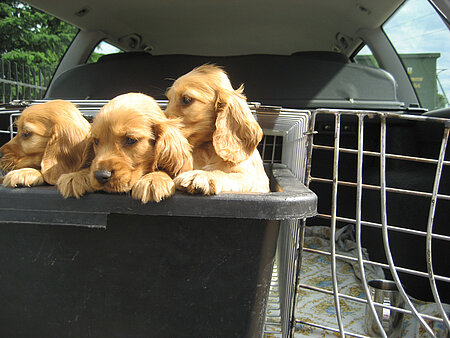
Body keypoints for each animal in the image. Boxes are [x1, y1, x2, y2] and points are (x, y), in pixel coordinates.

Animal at [165, 64, 270, 194]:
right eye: (169, 99)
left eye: (186, 99)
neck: (206, 148)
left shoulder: (253, 179)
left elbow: (226, 174)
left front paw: (202, 175)